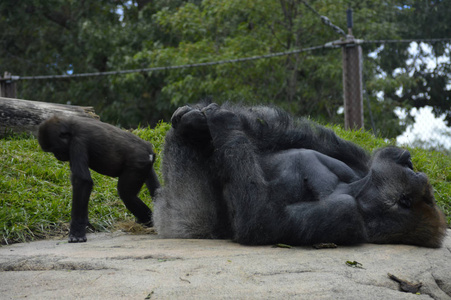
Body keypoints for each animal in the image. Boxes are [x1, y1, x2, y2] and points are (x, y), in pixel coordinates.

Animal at [154, 103, 448, 248]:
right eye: (410, 166)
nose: (407, 157)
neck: (360, 191)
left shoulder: (346, 215)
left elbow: (260, 222)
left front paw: (224, 120)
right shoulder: (360, 164)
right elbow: (291, 135)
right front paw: (199, 117)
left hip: (182, 220)